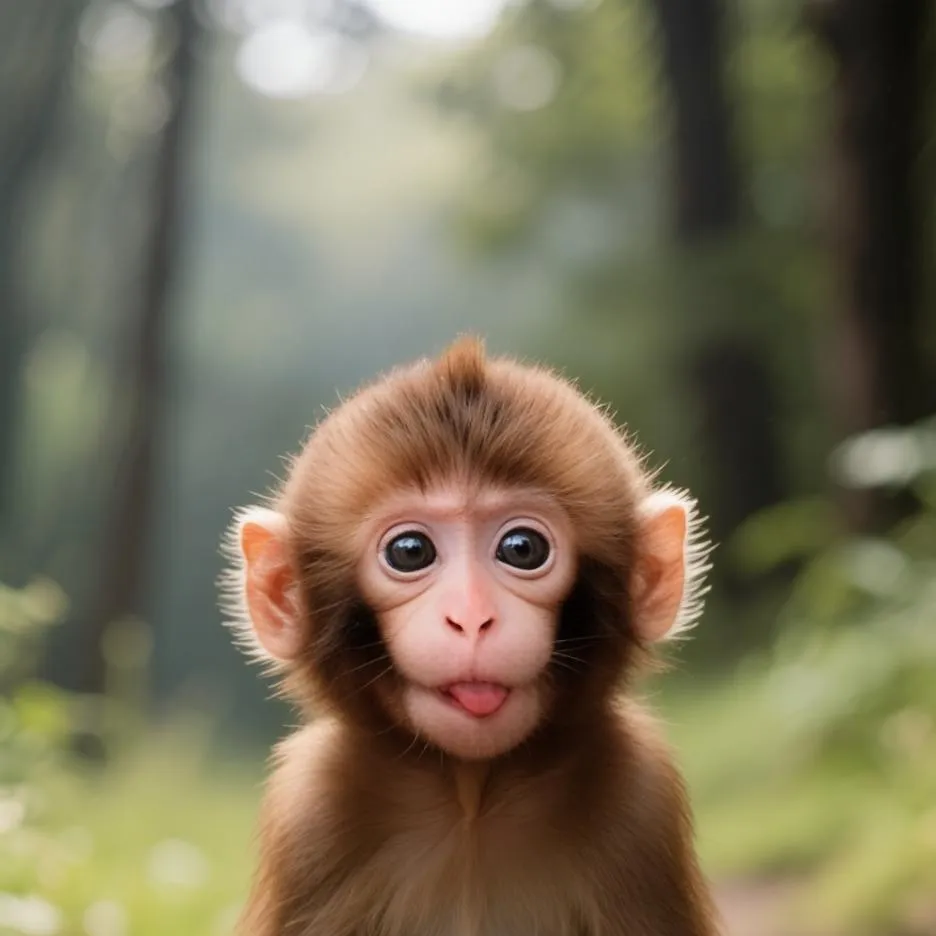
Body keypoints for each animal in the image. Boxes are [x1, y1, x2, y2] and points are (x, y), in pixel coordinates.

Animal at [221, 336, 721, 936]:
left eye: (522, 548)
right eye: (410, 551)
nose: (472, 616)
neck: (470, 801)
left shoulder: (641, 804)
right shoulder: (312, 815)